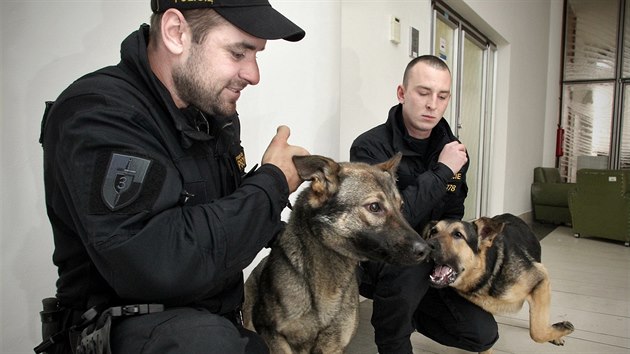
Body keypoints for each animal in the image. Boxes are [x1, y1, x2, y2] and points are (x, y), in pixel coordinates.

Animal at [428, 212, 576, 352]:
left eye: (458, 234)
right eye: (433, 232)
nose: (427, 245)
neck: (489, 271)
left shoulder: (541, 279)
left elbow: (537, 332)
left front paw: (563, 329)